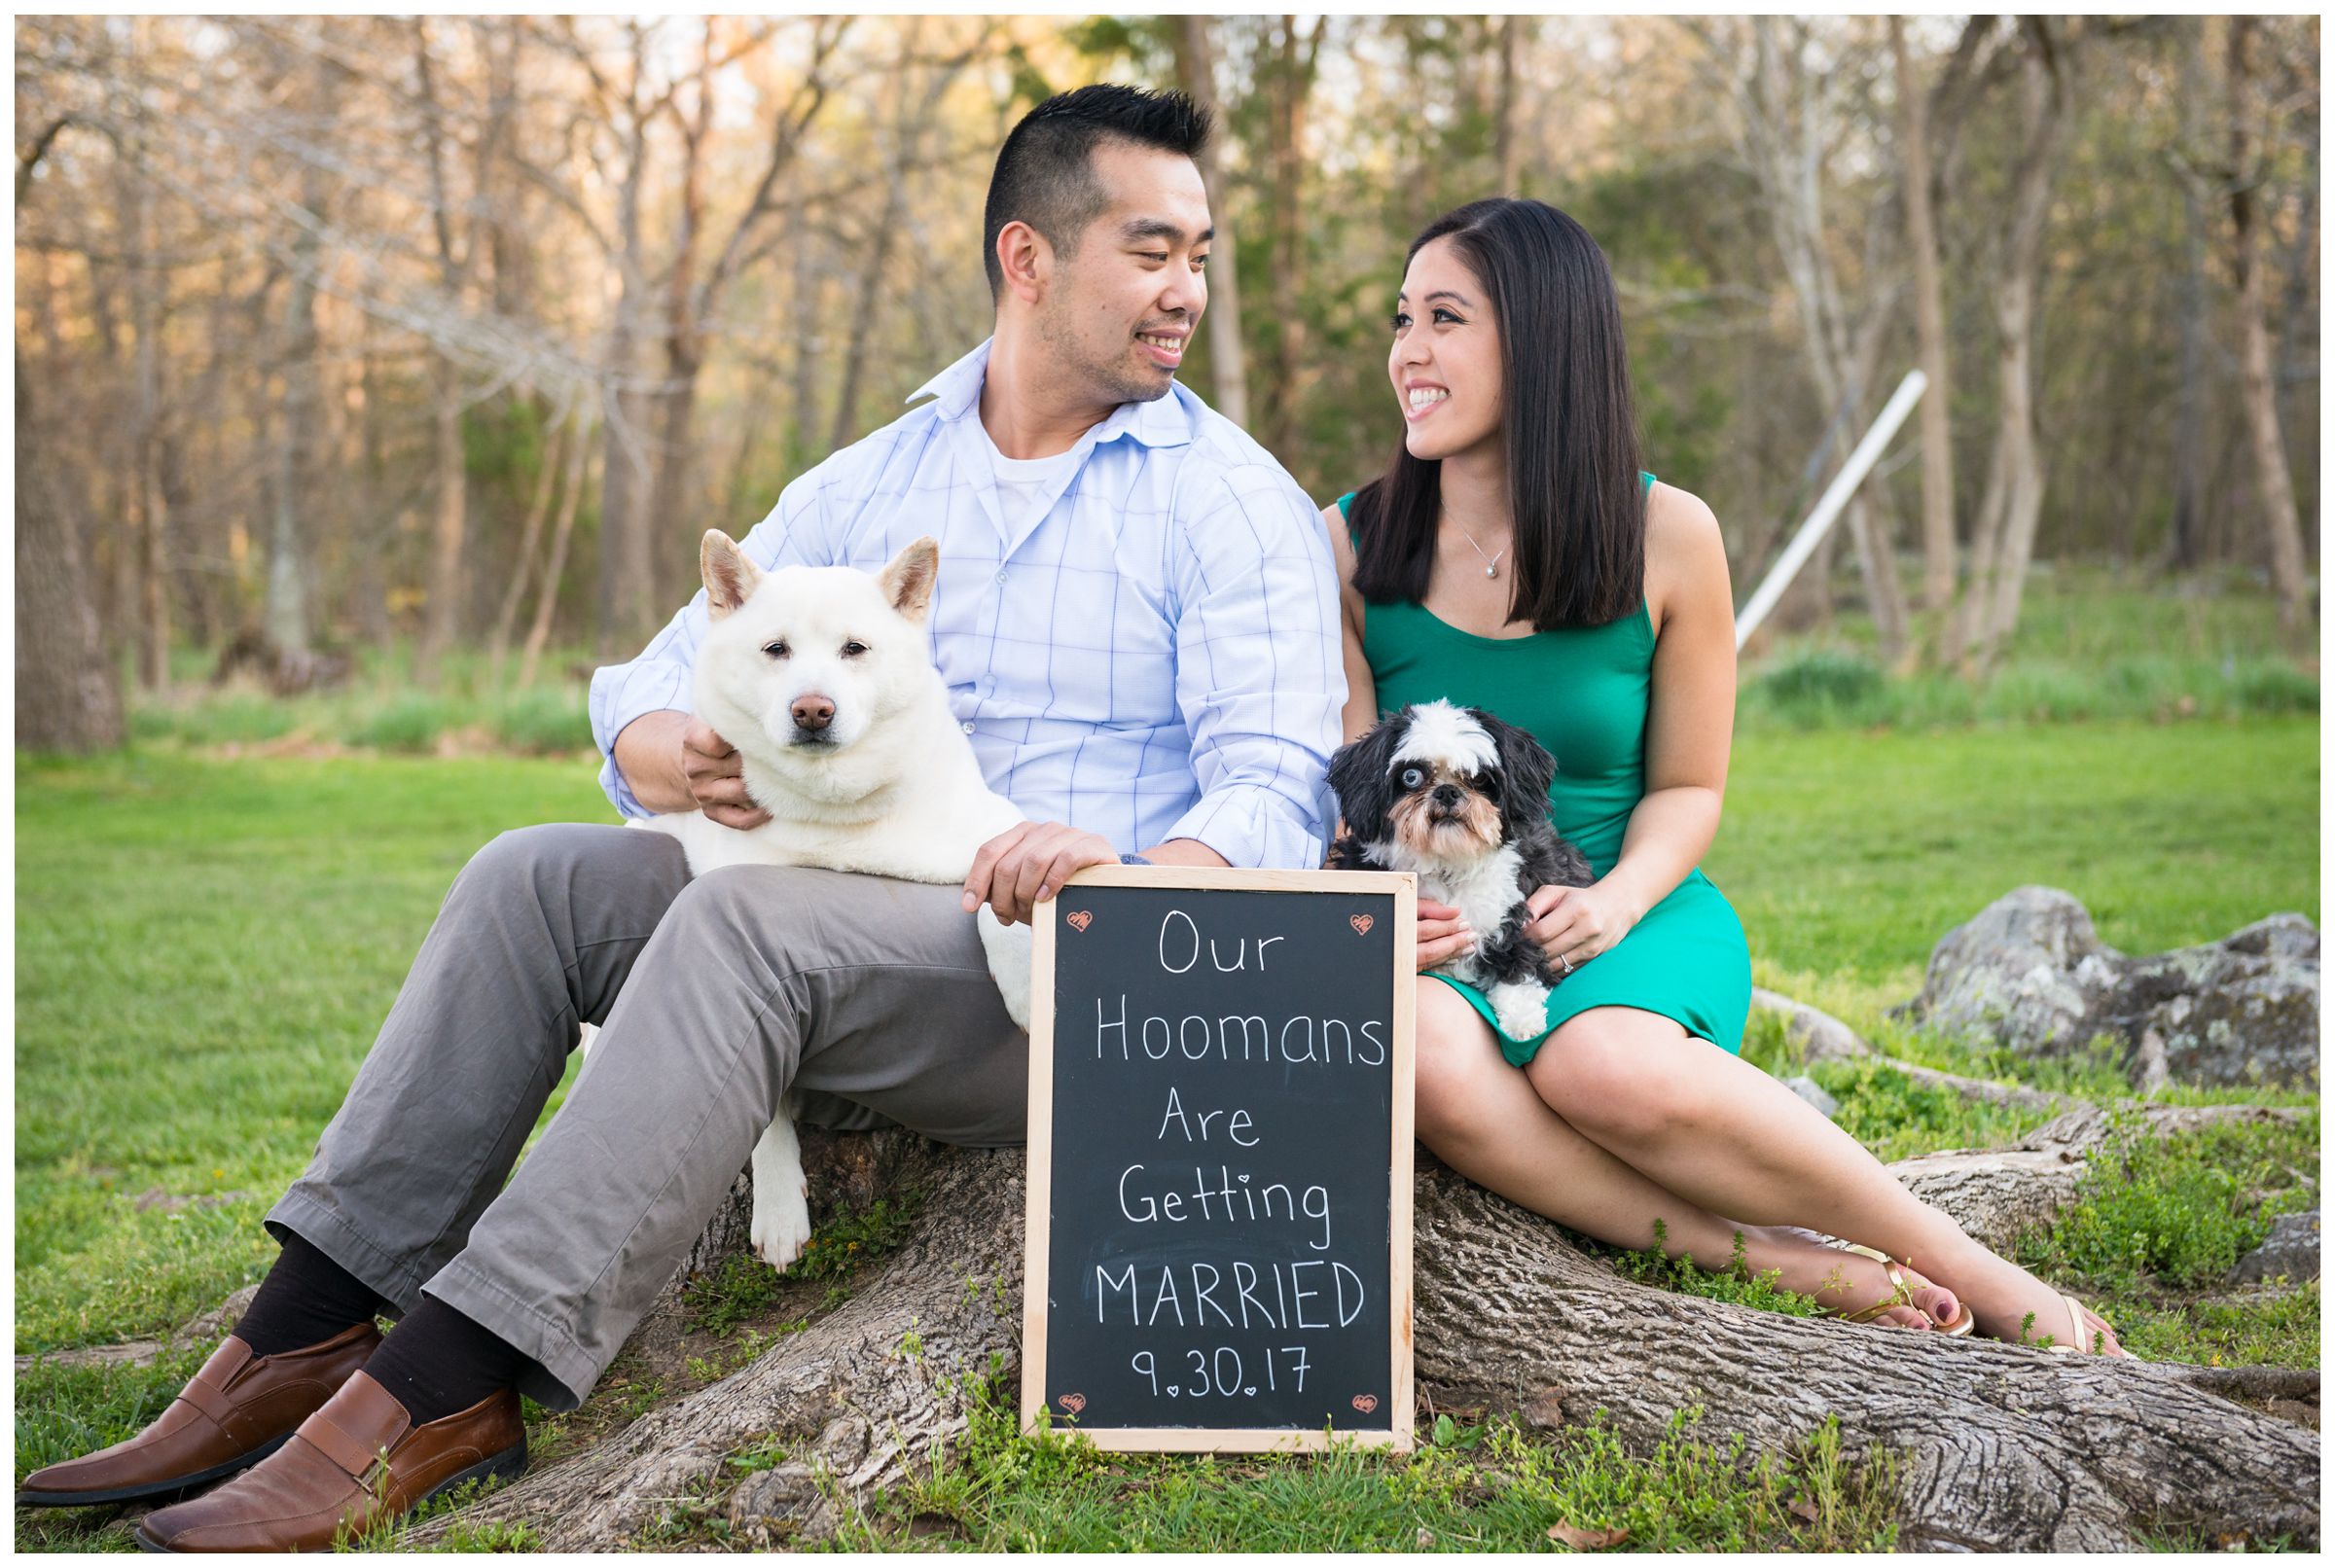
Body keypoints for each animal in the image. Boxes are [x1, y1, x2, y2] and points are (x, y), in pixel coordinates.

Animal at [584, 531, 1031, 1268]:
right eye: (776, 649)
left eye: (855, 648)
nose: (812, 709)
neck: (836, 810)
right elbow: (765, 1105)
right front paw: (777, 1205)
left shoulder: (989, 828)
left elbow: (1006, 887)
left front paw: (1025, 989)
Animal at [1326, 699, 1597, 1040]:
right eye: (1411, 776)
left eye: (1479, 778)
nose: (1447, 791)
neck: (1446, 866)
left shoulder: (1512, 921)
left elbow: (1520, 971)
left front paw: (1522, 1021)